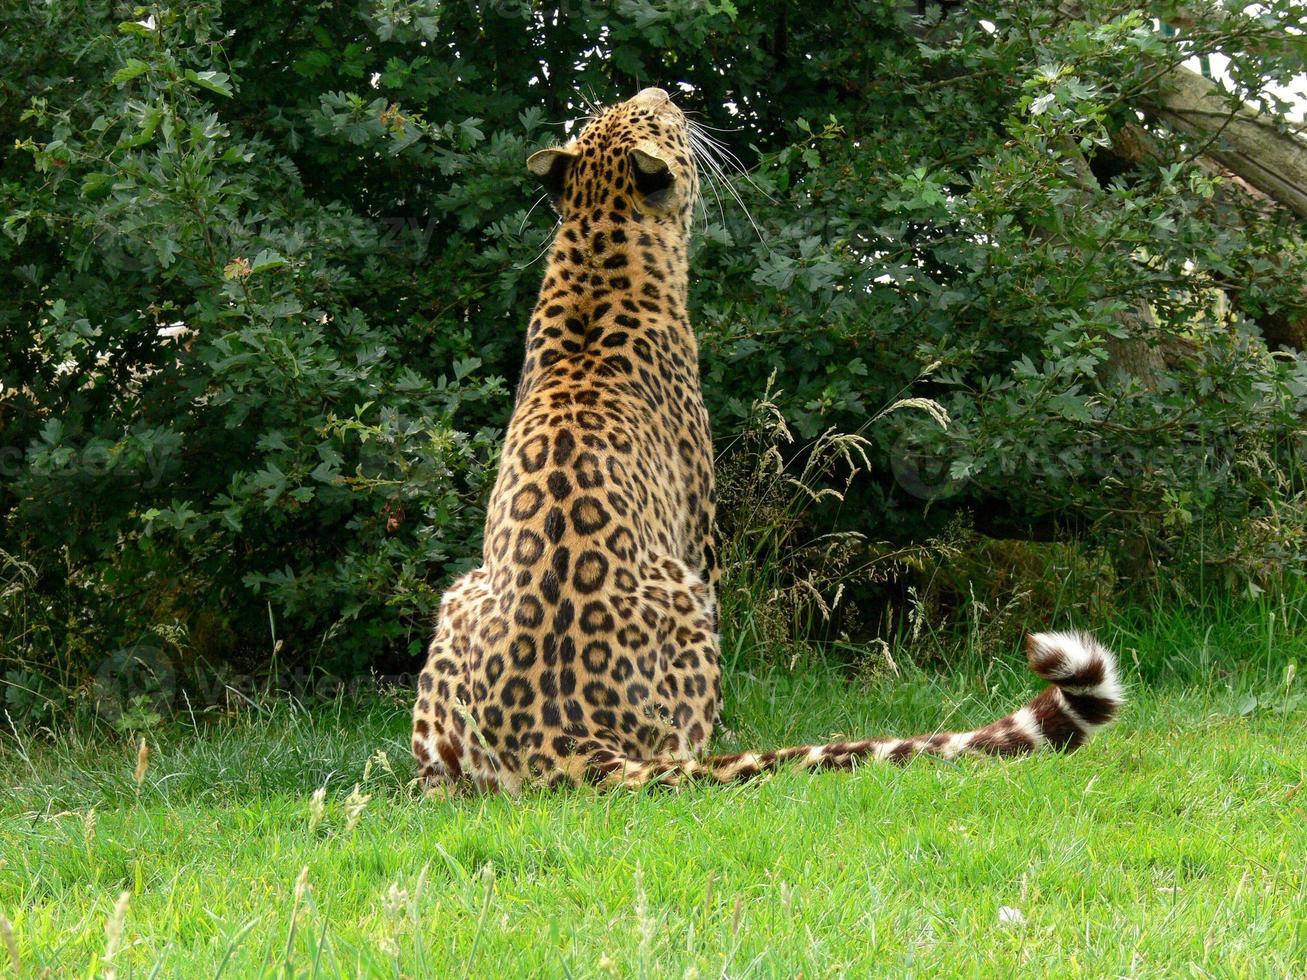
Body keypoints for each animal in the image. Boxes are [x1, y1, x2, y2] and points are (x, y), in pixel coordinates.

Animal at [410, 86, 1124, 799]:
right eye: (659, 119)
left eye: (620, 109)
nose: (666, 93)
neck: (597, 244)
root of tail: (564, 741)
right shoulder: (700, 530)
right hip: (680, 595)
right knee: (687, 743)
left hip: (458, 600)